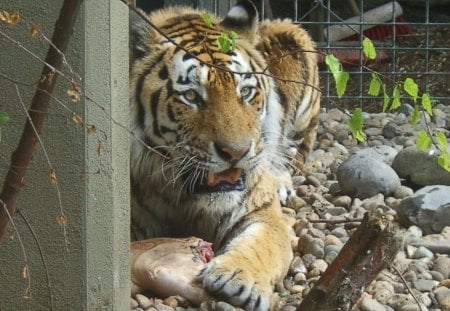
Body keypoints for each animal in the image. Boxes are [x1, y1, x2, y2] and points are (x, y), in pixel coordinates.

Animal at [128, 1, 322, 310]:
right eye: (191, 96)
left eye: (246, 91)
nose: (236, 152)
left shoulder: (261, 213)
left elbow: (261, 245)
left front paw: (238, 279)